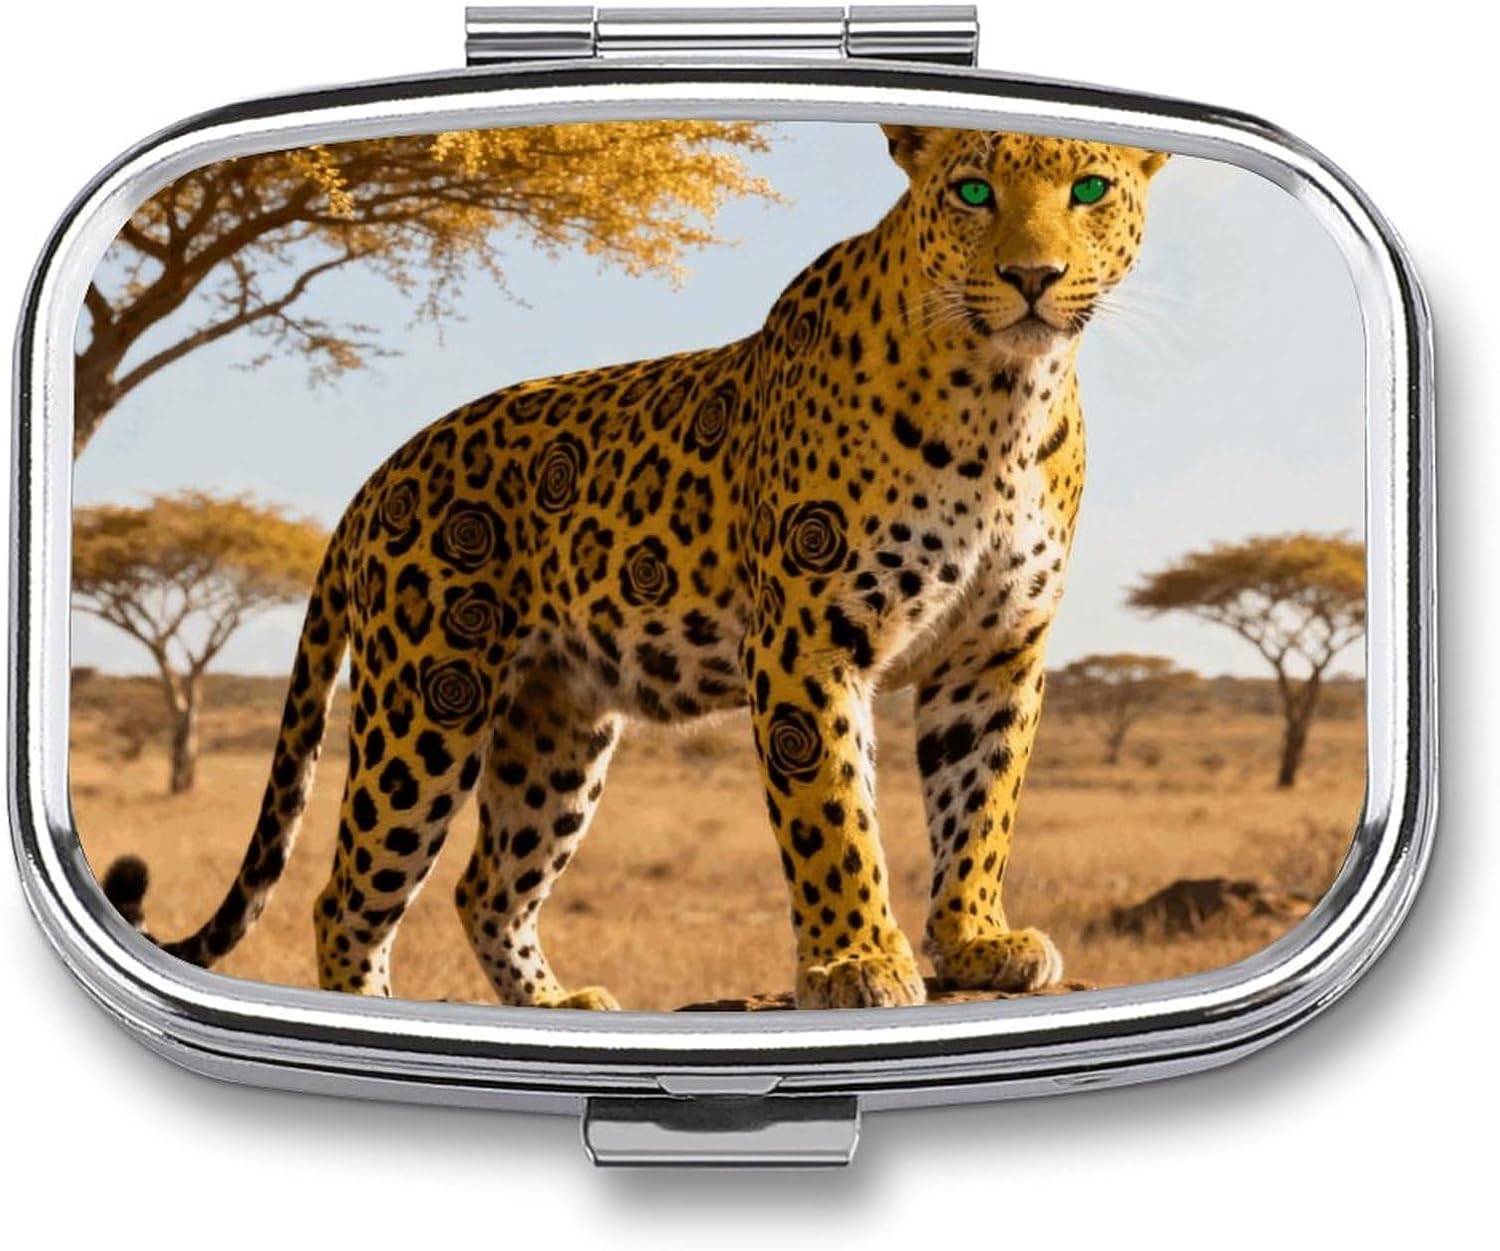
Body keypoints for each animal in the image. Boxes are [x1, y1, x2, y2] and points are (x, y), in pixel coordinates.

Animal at [103, 124, 1168, 1010]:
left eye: (1088, 188)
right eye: (974, 192)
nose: (1033, 275)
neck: (1004, 399)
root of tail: (378, 476)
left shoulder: (994, 655)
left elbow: (980, 802)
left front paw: (976, 939)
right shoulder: (809, 642)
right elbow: (833, 814)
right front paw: (855, 958)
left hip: (554, 732)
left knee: (487, 886)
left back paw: (556, 1008)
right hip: (428, 702)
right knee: (350, 894)